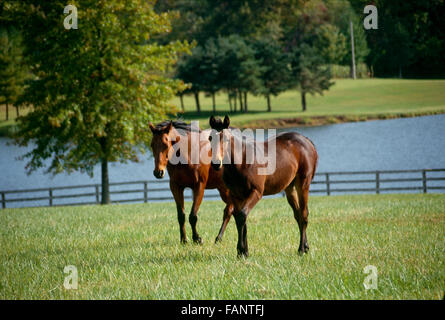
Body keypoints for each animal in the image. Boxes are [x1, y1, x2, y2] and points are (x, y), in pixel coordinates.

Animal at [208, 115, 316, 258]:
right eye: (210, 138)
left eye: (225, 138)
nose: (216, 164)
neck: (242, 162)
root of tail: (307, 141)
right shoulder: (236, 195)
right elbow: (240, 218)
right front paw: (243, 252)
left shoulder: (256, 192)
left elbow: (242, 215)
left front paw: (242, 251)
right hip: (290, 188)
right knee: (298, 214)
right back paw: (306, 246)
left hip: (303, 184)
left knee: (303, 214)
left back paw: (301, 249)